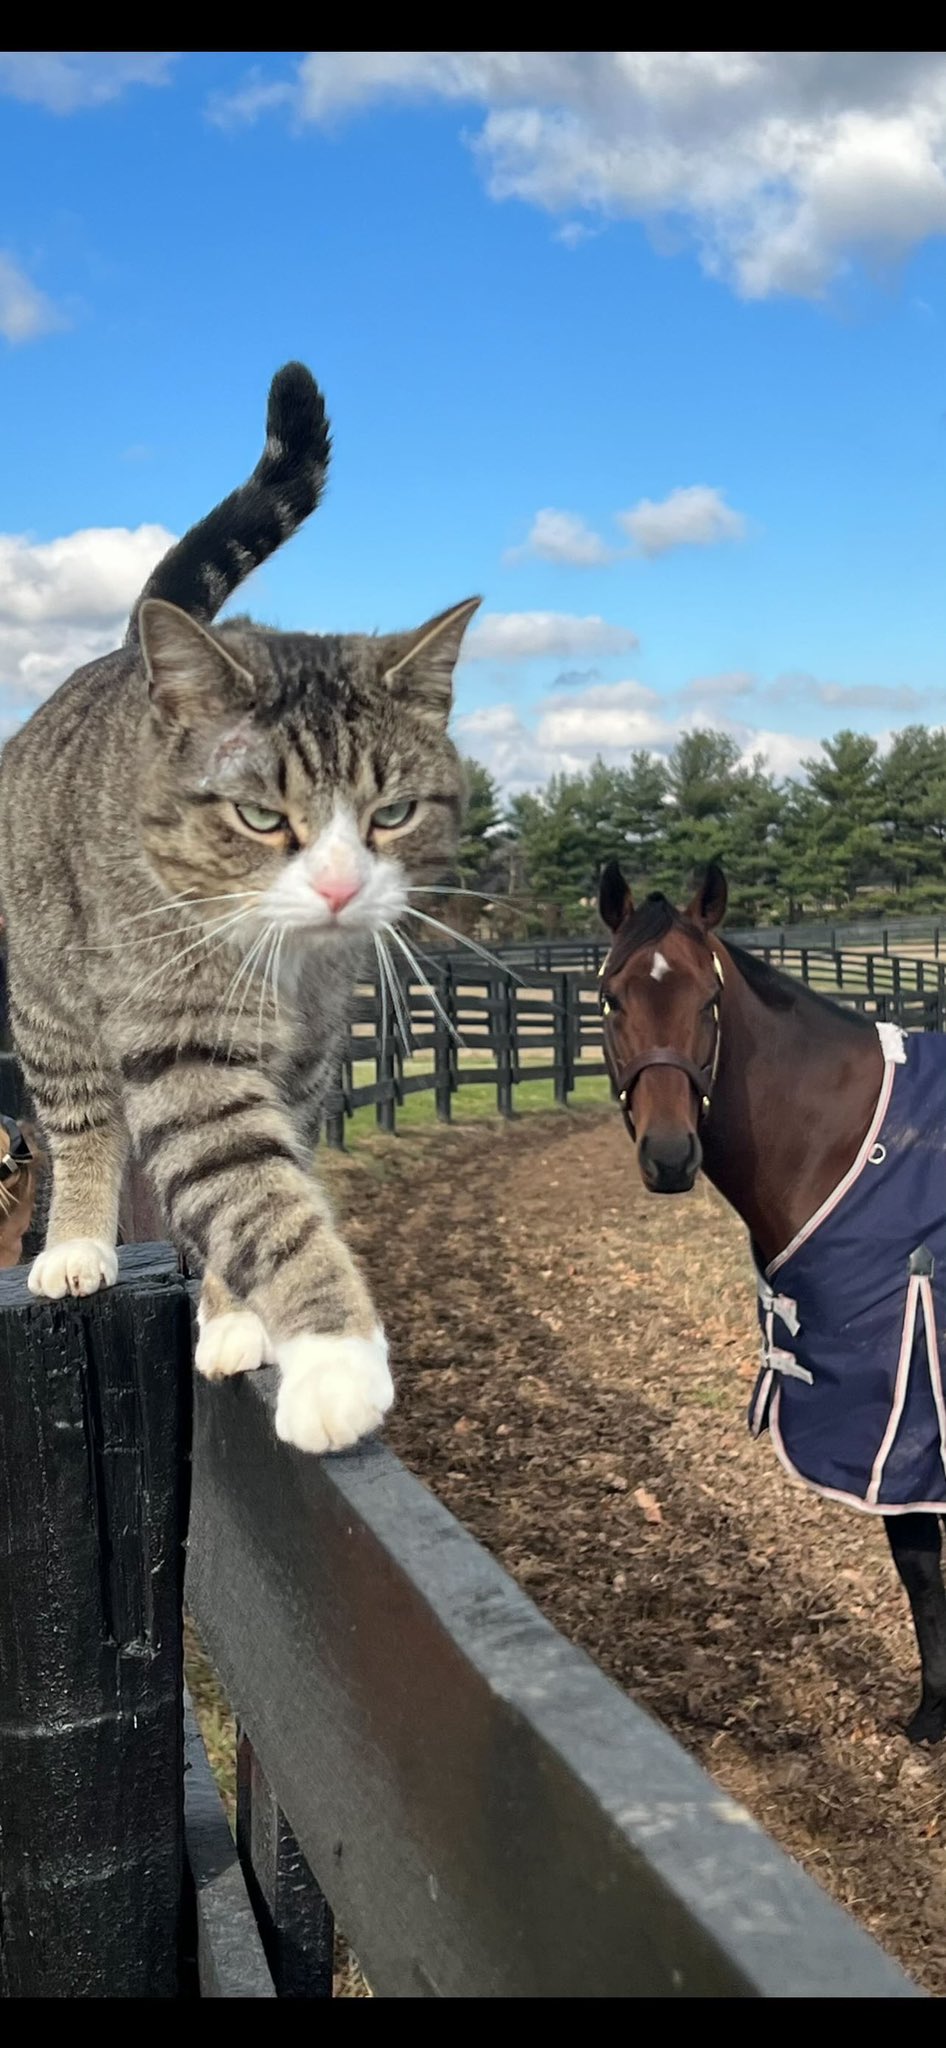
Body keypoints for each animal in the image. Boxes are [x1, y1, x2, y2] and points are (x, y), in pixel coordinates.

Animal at [0, 363, 480, 1452]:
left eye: (392, 813)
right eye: (260, 815)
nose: (340, 883)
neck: (287, 963)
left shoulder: (305, 1059)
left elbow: (266, 1183)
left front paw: (234, 1320)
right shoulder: (181, 1044)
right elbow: (254, 1195)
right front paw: (338, 1361)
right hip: (47, 999)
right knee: (81, 1121)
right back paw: (76, 1244)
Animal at [596, 856, 946, 1744]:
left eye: (708, 1002)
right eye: (613, 998)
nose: (670, 1155)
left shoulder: (901, 1406)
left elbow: (918, 1559)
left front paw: (933, 1714)